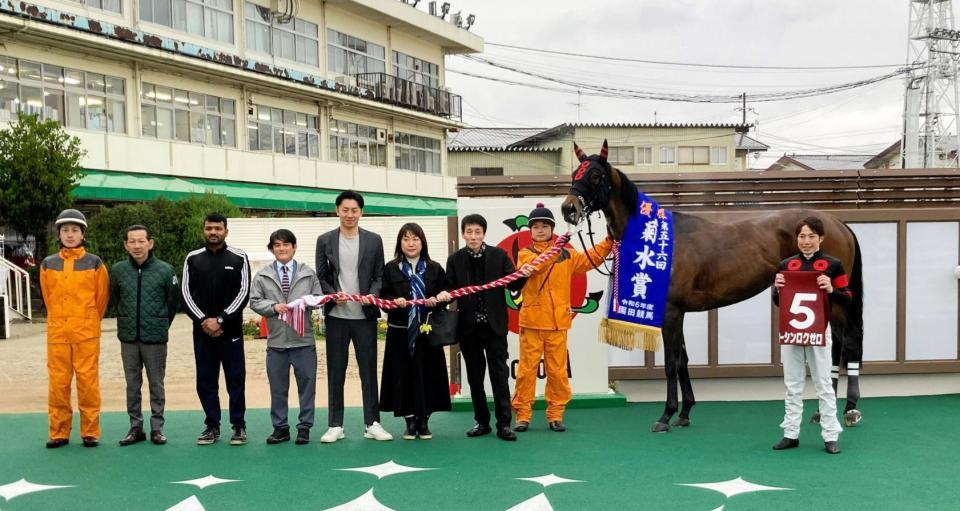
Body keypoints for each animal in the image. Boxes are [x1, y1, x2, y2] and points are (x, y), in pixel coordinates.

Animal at [560, 140, 868, 432]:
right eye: (575, 174)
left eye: (596, 175)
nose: (568, 208)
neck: (661, 241)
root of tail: (838, 223)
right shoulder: (679, 312)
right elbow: (683, 360)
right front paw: (684, 413)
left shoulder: (671, 312)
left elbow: (671, 363)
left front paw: (666, 415)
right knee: (838, 345)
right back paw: (823, 411)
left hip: (836, 297)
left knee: (849, 342)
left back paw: (850, 409)